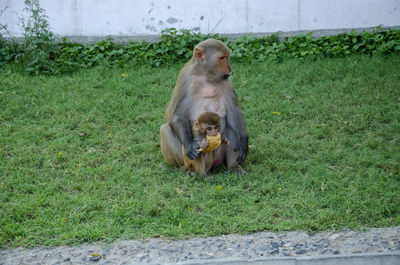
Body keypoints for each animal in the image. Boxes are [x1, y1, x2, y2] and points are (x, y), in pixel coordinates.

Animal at [159, 38, 247, 172]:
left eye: (227, 56)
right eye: (222, 58)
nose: (229, 68)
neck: (206, 77)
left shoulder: (226, 80)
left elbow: (233, 110)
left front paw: (243, 139)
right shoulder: (186, 81)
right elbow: (179, 116)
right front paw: (190, 145)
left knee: (232, 128)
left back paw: (233, 166)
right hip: (185, 159)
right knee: (165, 129)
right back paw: (189, 170)